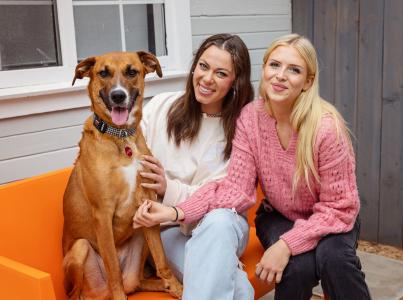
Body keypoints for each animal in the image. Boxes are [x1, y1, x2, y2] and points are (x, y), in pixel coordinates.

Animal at [63, 52, 183, 300]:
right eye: (103, 72)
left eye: (131, 71)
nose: (118, 96)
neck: (120, 137)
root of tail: (98, 295)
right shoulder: (102, 214)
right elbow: (112, 268)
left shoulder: (147, 205)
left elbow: (162, 259)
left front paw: (176, 287)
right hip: (80, 247)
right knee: (76, 294)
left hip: (140, 232)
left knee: (137, 281)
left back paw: (162, 285)